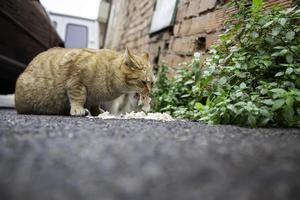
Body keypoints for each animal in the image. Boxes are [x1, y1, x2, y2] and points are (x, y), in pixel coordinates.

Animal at [14, 47, 154, 115]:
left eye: (152, 83)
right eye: (143, 82)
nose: (150, 92)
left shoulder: (95, 98)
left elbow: (95, 104)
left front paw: (97, 112)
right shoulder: (76, 81)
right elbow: (78, 97)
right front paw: (78, 109)